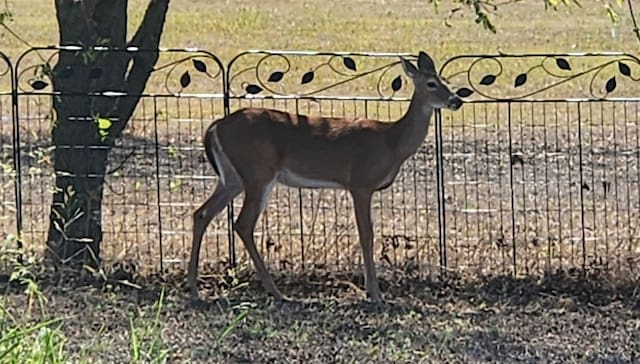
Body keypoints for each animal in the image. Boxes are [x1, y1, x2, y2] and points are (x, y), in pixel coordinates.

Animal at [188, 49, 462, 302]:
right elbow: (366, 234)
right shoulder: (360, 183)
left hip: (232, 177)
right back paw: (275, 292)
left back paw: (195, 289)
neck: (391, 142)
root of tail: (214, 127)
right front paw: (375, 294)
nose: (457, 100)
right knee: (243, 223)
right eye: (432, 83)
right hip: (258, 172)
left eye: (445, 80)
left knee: (202, 213)